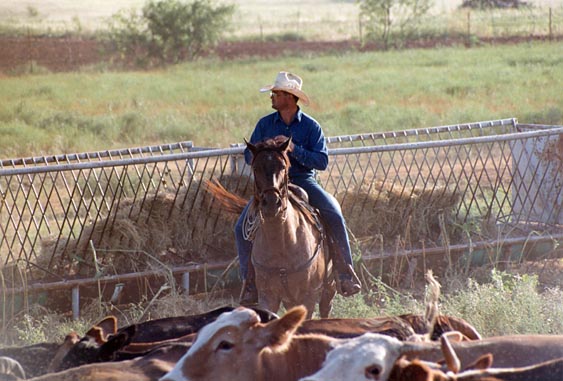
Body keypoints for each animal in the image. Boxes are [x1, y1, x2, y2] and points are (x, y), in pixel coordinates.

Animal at [209, 135, 338, 316]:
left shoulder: (308, 297)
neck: (282, 244)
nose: (271, 203)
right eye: (255, 168)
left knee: (326, 307)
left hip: (329, 286)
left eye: (283, 166)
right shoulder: (268, 296)